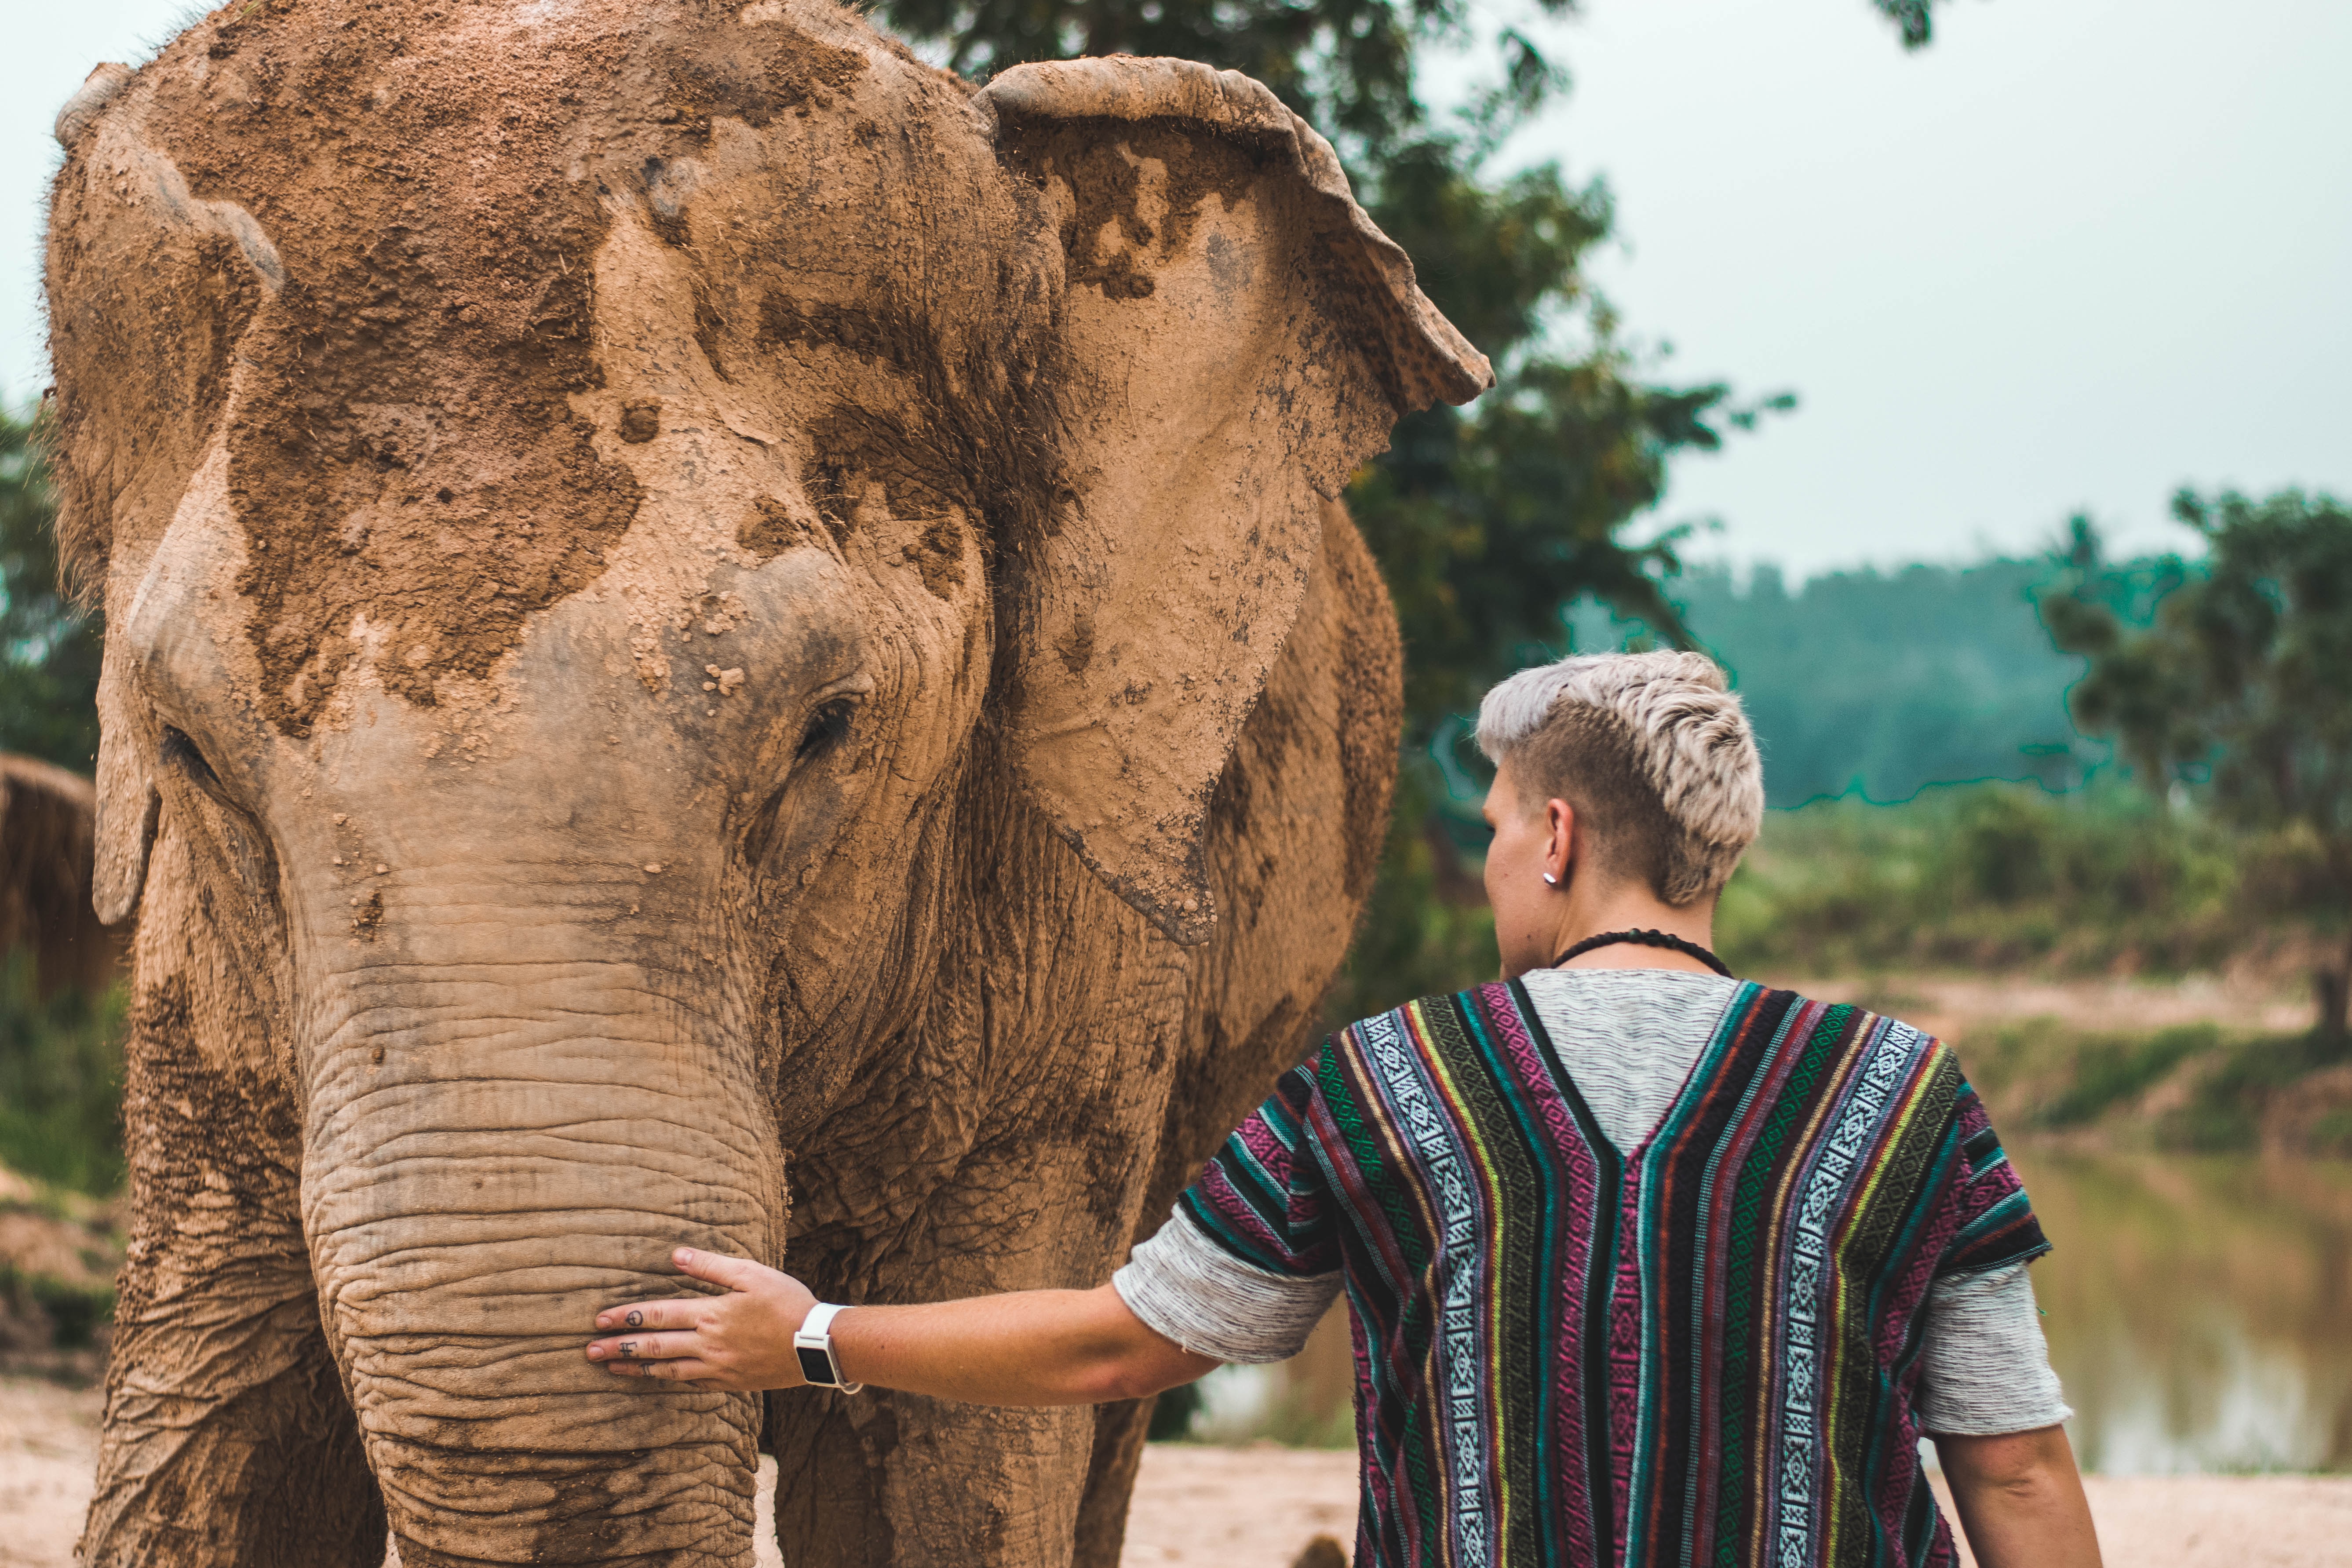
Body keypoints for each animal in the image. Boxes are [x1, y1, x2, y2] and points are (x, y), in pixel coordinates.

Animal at [41, 3, 1486, 1568]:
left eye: (823, 730)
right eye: (187, 749)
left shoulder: (1069, 996)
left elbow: (945, 1470)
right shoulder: (200, 990)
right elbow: (219, 1435)